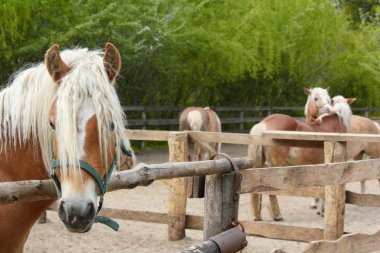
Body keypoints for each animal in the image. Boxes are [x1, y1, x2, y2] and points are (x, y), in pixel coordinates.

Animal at [248, 87, 348, 221]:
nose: (327, 109)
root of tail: (263, 124)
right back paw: (277, 215)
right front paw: (323, 211)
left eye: (328, 99)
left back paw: (258, 216)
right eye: (316, 98)